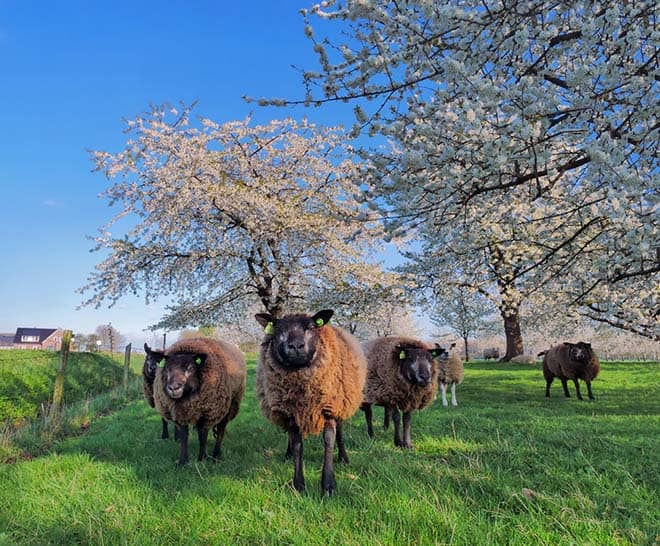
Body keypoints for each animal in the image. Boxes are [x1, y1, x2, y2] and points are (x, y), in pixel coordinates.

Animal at [153, 336, 246, 464]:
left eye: (191, 368)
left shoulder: (208, 413)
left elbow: (203, 437)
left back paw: (216, 455)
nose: (173, 388)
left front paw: (202, 459)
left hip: (228, 406)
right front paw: (183, 462)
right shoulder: (181, 414)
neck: (187, 398)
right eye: (167, 369)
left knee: (220, 431)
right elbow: (184, 437)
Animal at [254, 308, 366, 496]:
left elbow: (328, 441)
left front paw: (328, 486)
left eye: (311, 327)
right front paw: (298, 485)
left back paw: (343, 457)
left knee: (340, 433)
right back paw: (287, 454)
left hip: (340, 403)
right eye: (278, 330)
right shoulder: (291, 414)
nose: (296, 346)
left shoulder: (328, 409)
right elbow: (297, 446)